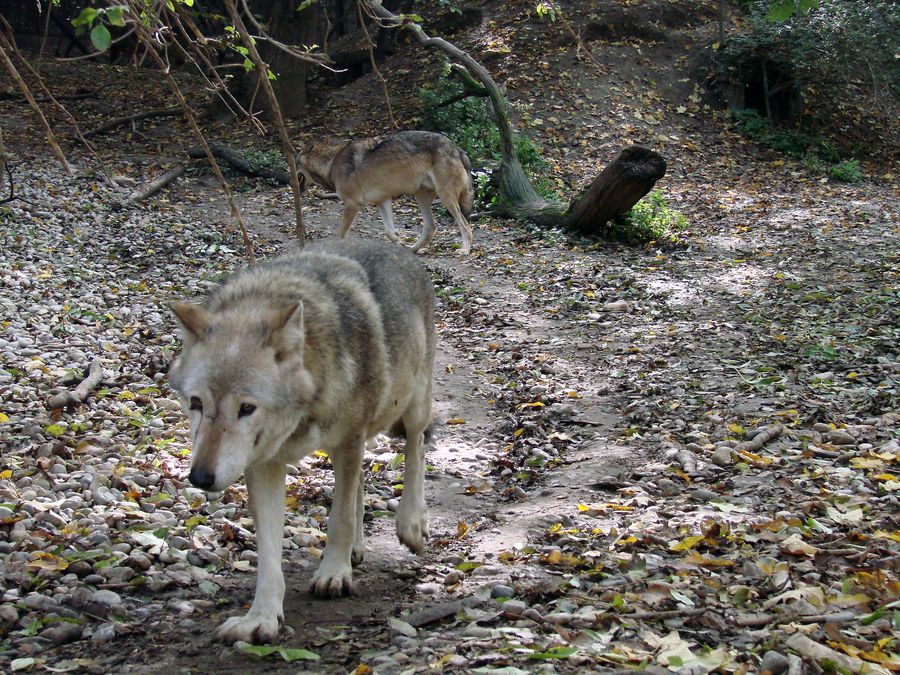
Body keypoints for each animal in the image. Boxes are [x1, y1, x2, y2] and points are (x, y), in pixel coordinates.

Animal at [170, 239, 440, 644]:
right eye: (197, 403)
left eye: (247, 408)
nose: (199, 478)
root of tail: (396, 247)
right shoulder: (264, 464)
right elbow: (269, 551)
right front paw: (261, 617)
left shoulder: (348, 439)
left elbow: (339, 518)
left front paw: (333, 573)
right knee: (361, 484)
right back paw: (358, 548)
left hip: (412, 407)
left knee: (415, 452)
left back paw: (412, 525)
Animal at [298, 131, 478, 256]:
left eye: (295, 161)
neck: (331, 162)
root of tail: (458, 149)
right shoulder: (382, 200)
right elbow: (389, 231)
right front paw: (400, 243)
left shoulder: (353, 204)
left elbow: (338, 234)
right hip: (420, 196)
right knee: (430, 227)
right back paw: (412, 249)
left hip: (445, 197)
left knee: (465, 225)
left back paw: (465, 250)